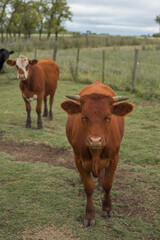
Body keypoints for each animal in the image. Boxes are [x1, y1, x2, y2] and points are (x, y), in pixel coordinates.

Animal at [61, 80, 134, 227]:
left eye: (108, 117)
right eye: (84, 117)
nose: (95, 140)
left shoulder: (114, 159)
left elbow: (107, 184)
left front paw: (107, 208)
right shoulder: (79, 160)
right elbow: (89, 187)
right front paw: (89, 215)